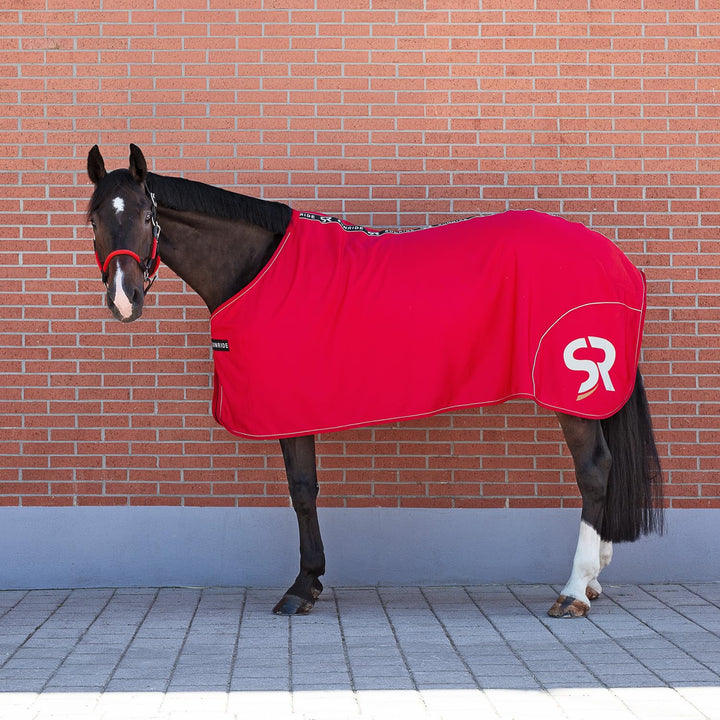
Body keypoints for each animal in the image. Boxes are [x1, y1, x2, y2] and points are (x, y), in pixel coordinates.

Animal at [85, 144, 664, 618]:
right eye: (93, 218)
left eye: (145, 215)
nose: (123, 298)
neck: (257, 267)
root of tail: (617, 260)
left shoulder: (290, 406)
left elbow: (302, 491)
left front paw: (303, 586)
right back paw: (593, 581)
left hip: (570, 386)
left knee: (594, 470)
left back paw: (573, 591)